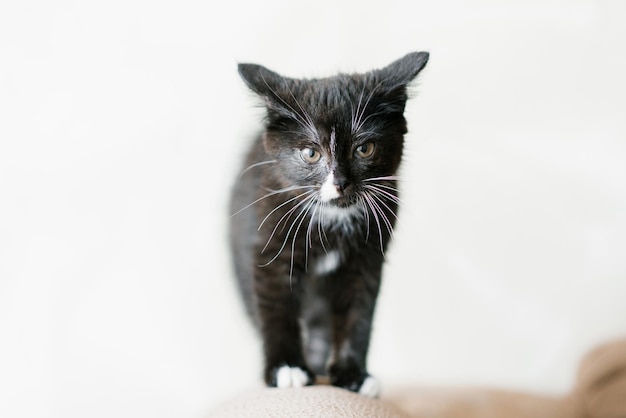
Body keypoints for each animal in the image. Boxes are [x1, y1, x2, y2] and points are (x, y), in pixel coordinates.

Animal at [229, 51, 428, 396]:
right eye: (311, 153)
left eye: (364, 149)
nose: (340, 183)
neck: (332, 219)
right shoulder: (268, 244)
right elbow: (276, 305)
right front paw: (287, 368)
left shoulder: (368, 257)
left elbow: (358, 313)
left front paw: (353, 375)